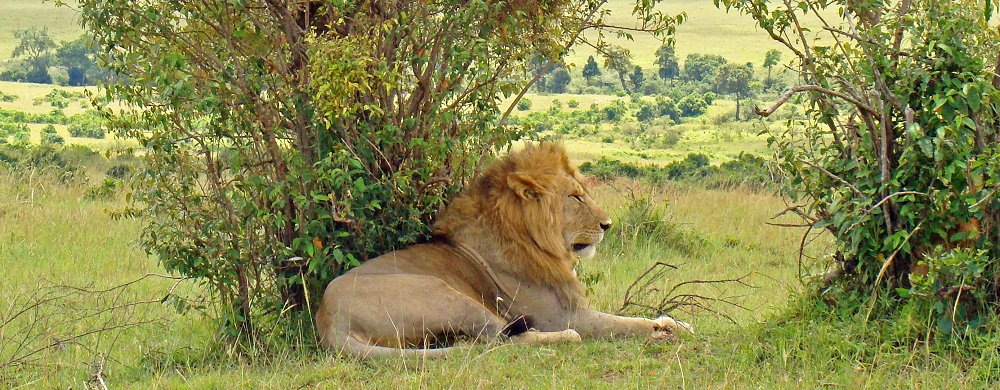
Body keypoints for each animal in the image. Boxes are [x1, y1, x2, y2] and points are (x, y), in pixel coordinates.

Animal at [316, 142, 692, 358]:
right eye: (575, 197)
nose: (608, 224)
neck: (532, 241)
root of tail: (329, 319)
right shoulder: (565, 315)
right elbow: (625, 324)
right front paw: (666, 331)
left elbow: (634, 315)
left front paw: (674, 322)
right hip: (445, 293)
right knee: (497, 339)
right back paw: (559, 339)